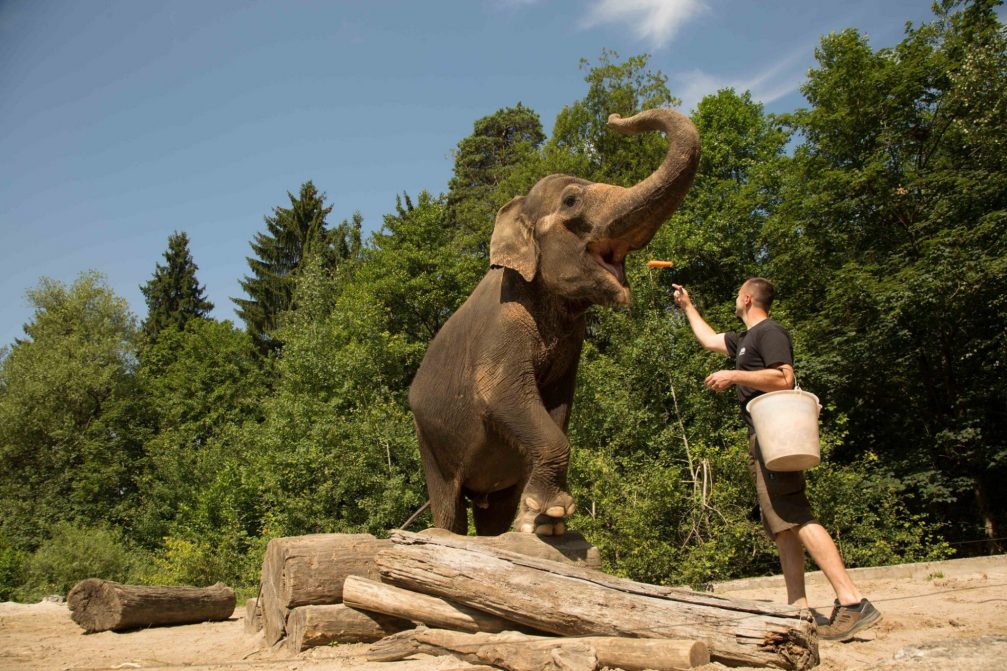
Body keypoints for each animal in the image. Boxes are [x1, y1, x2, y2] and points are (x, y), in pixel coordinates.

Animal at [404, 107, 696, 535]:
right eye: (572, 200)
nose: (614, 118)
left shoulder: (572, 343)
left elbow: (556, 404)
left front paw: (544, 523)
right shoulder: (504, 324)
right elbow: (502, 394)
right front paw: (553, 511)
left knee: (494, 509)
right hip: (430, 442)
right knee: (448, 504)